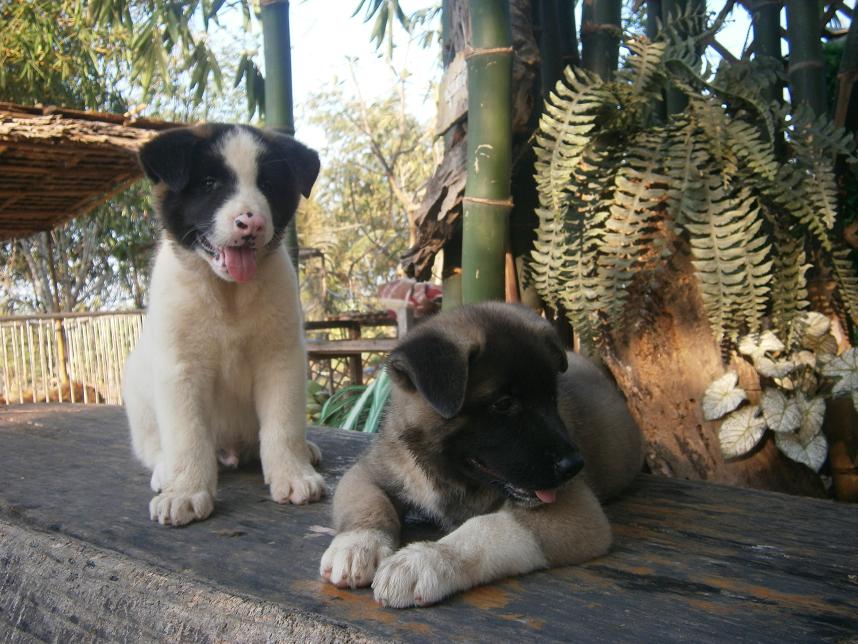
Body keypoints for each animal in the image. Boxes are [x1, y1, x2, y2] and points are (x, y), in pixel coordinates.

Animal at [123, 124, 325, 526]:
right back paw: (165, 472)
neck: (228, 293)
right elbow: (187, 436)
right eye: (209, 183)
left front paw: (293, 473)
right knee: (154, 445)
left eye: (267, 184)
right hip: (137, 393)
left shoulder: (280, 360)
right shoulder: (180, 368)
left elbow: (283, 424)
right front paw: (185, 492)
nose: (252, 223)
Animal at [319, 302, 642, 607]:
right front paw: (357, 545)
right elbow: (369, 503)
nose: (574, 466)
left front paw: (426, 559)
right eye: (503, 404)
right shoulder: (368, 472)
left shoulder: (577, 510)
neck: (446, 473)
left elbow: (487, 526)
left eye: (553, 398)